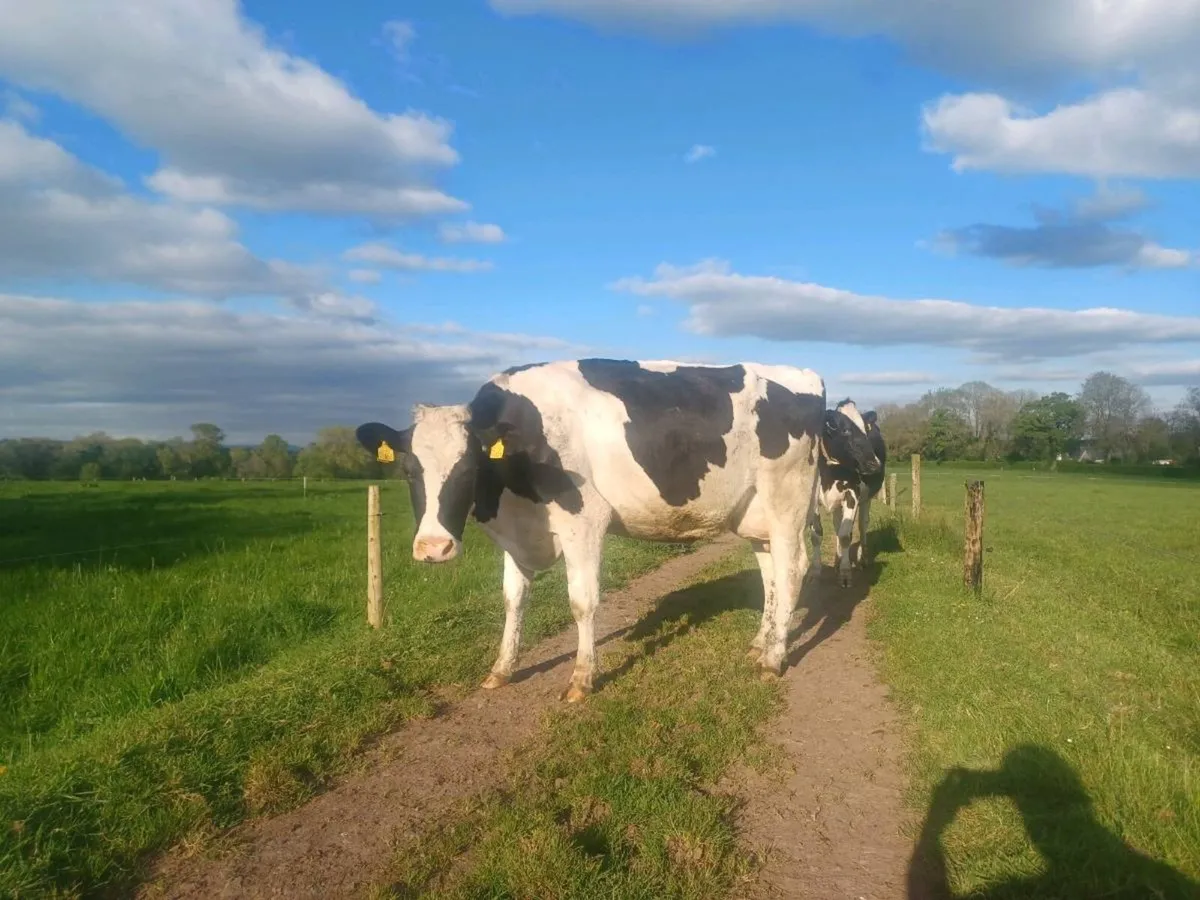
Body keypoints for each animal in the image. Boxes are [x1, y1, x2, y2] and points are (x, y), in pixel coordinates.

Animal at [355, 358, 837, 702]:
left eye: (468, 468)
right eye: (409, 471)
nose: (433, 547)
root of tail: (804, 375)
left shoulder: (583, 520)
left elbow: (582, 602)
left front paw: (582, 679)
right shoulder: (517, 533)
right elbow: (513, 599)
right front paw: (502, 668)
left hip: (786, 499)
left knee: (792, 569)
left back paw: (774, 658)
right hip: (754, 514)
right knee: (769, 572)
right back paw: (761, 642)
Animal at [808, 399, 886, 587]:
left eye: (865, 430)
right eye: (845, 429)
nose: (875, 463)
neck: (830, 474)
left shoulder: (852, 495)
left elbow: (845, 535)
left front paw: (845, 574)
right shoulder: (813, 498)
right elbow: (817, 535)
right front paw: (815, 573)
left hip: (866, 499)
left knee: (862, 525)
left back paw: (861, 560)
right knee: (838, 524)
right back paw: (837, 561)